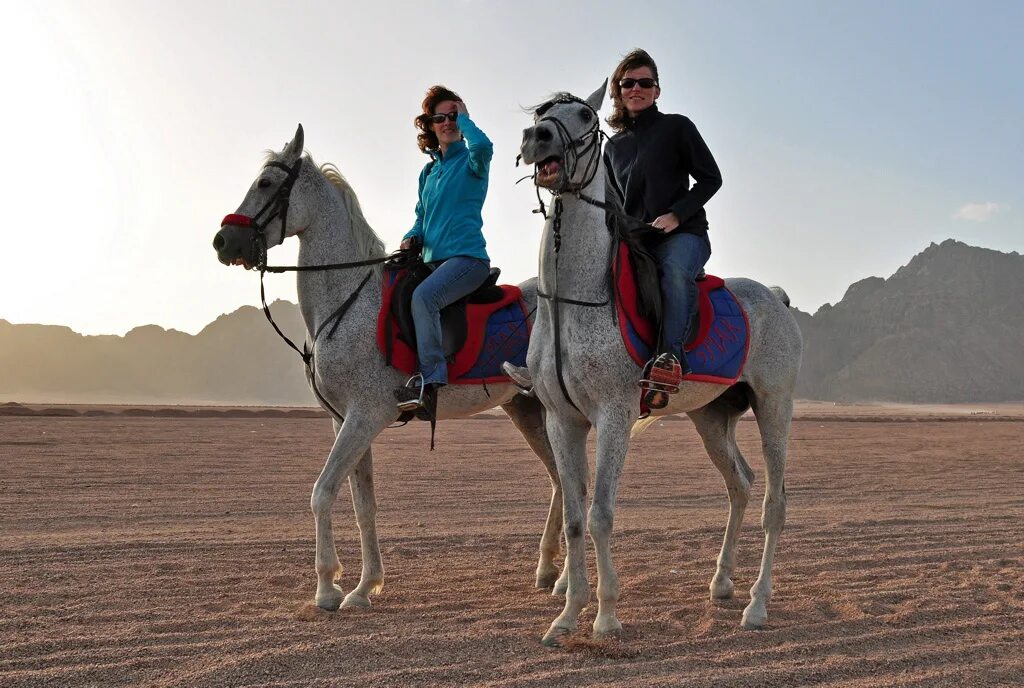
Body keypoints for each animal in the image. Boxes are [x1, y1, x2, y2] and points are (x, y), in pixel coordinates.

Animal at [211, 127, 565, 614]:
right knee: (561, 482)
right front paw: (364, 587)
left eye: (265, 183)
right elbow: (364, 504)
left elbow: (322, 492)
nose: (223, 241)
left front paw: (327, 587)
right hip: (526, 409)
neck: (347, 302)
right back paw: (548, 570)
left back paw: (566, 581)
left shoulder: (367, 416)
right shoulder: (344, 419)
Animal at [520, 87, 798, 647]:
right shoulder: (562, 420)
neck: (573, 300)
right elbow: (575, 518)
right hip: (711, 416)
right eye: (542, 113)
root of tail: (776, 298)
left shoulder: (614, 415)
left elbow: (601, 515)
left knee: (774, 504)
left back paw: (756, 605)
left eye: (583, 114)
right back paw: (721, 582)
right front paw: (566, 615)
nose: (536, 137)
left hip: (775, 405)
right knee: (740, 483)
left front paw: (606, 616)